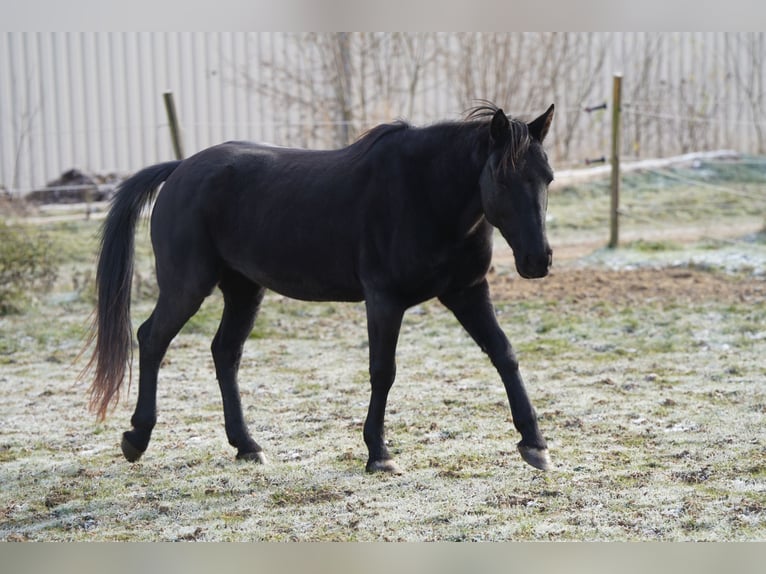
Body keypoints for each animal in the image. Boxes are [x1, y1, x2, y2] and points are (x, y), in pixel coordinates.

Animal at [85, 102, 555, 474]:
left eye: (547, 178)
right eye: (503, 179)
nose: (538, 260)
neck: (425, 193)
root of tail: (179, 170)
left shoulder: (467, 291)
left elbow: (505, 354)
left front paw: (534, 443)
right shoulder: (384, 301)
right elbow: (383, 371)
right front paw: (379, 453)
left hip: (243, 290)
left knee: (225, 353)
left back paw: (246, 445)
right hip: (187, 286)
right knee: (152, 339)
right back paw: (137, 437)